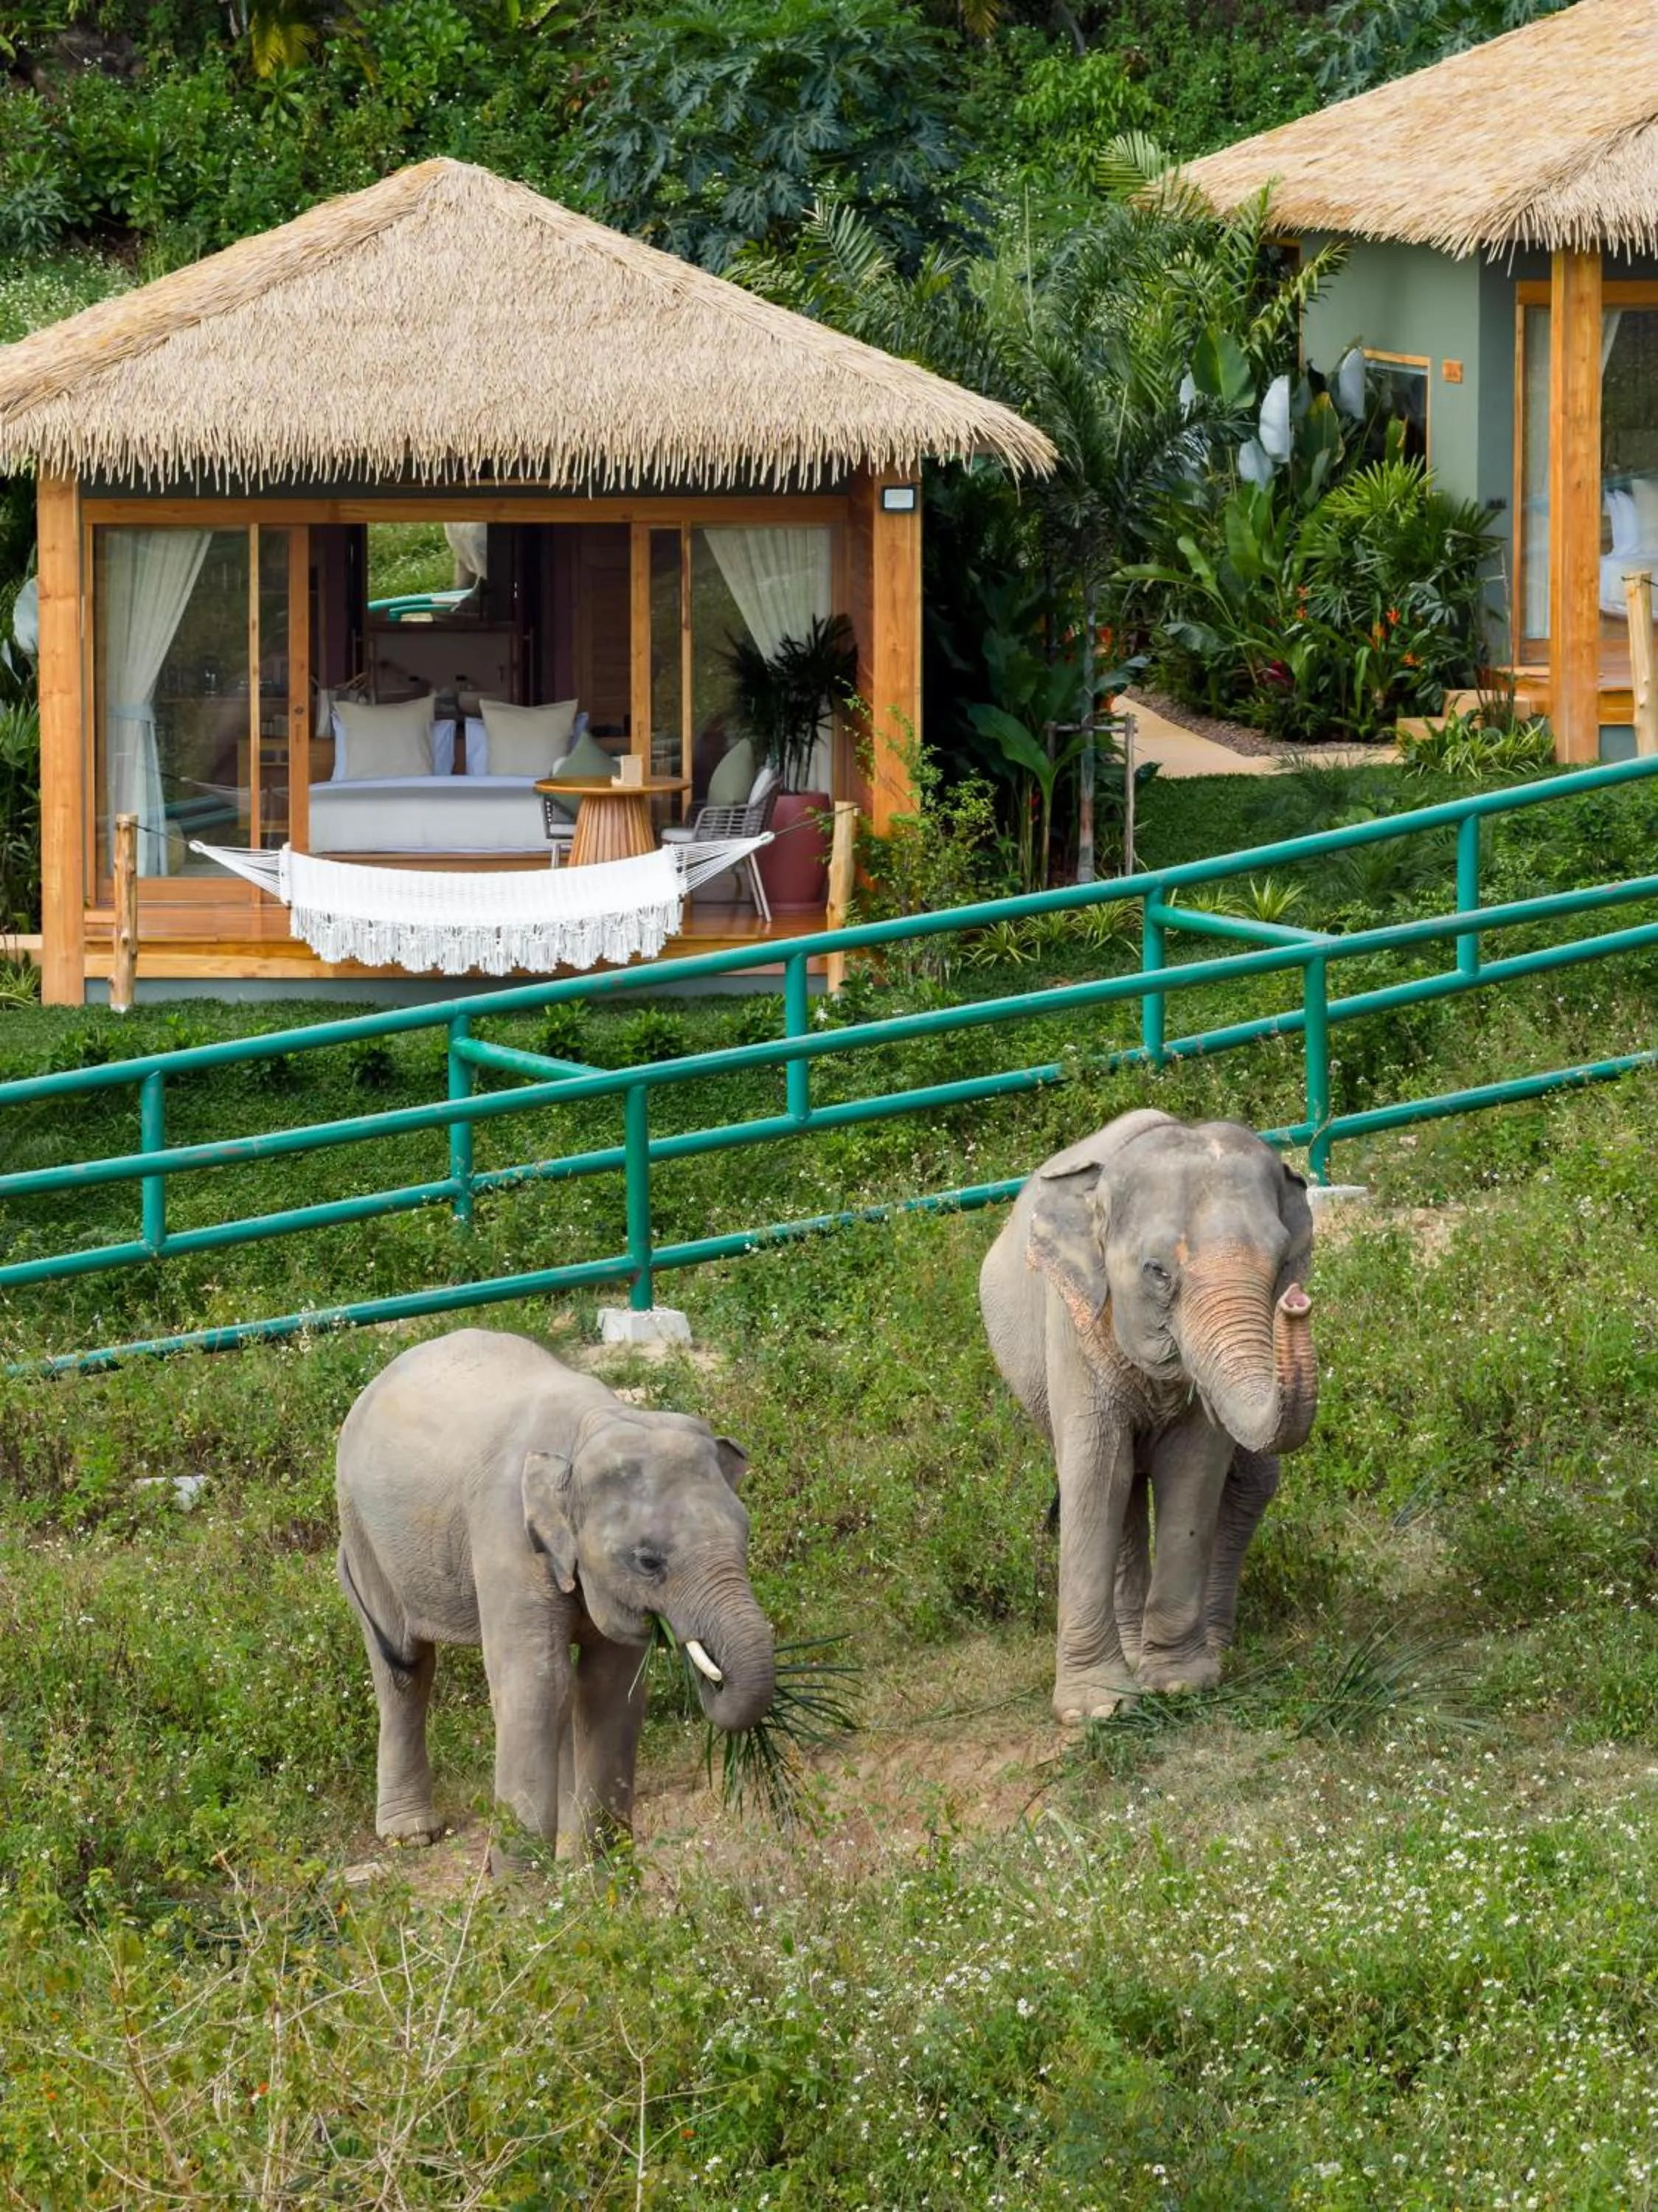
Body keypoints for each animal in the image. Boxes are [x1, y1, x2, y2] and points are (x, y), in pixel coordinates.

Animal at [335, 1328, 776, 1861]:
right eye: (648, 1561)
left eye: (746, 1537)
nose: (713, 1676)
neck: (594, 1424)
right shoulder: (506, 1534)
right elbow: (536, 1685)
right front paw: (524, 1879)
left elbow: (609, 1687)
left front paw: (593, 1868)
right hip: (362, 1531)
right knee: (404, 1664)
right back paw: (412, 1836)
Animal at [979, 1110, 1317, 1724]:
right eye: (1156, 1271)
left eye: (1283, 1264)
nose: (1296, 1302)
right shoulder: (1075, 1325)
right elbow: (1096, 1474)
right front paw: (1096, 1710)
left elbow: (1193, 1471)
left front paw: (1180, 1685)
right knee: (1118, 1484)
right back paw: (1133, 1660)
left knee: (1241, 1484)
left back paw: (1198, 1649)